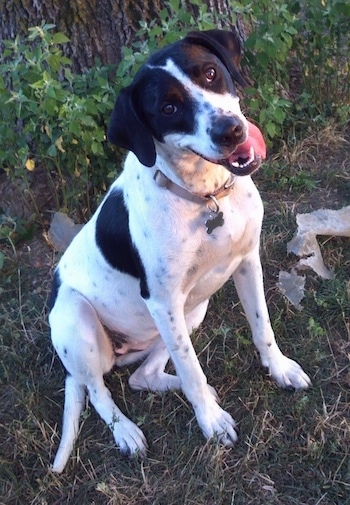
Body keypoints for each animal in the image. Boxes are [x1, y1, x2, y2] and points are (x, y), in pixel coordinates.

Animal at [47, 29, 310, 472]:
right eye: (168, 108)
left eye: (210, 73)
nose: (230, 130)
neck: (203, 196)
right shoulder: (162, 299)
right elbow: (191, 369)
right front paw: (211, 422)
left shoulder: (246, 263)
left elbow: (262, 328)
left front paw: (279, 370)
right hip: (77, 321)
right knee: (99, 390)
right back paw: (126, 431)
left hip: (192, 311)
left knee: (143, 375)